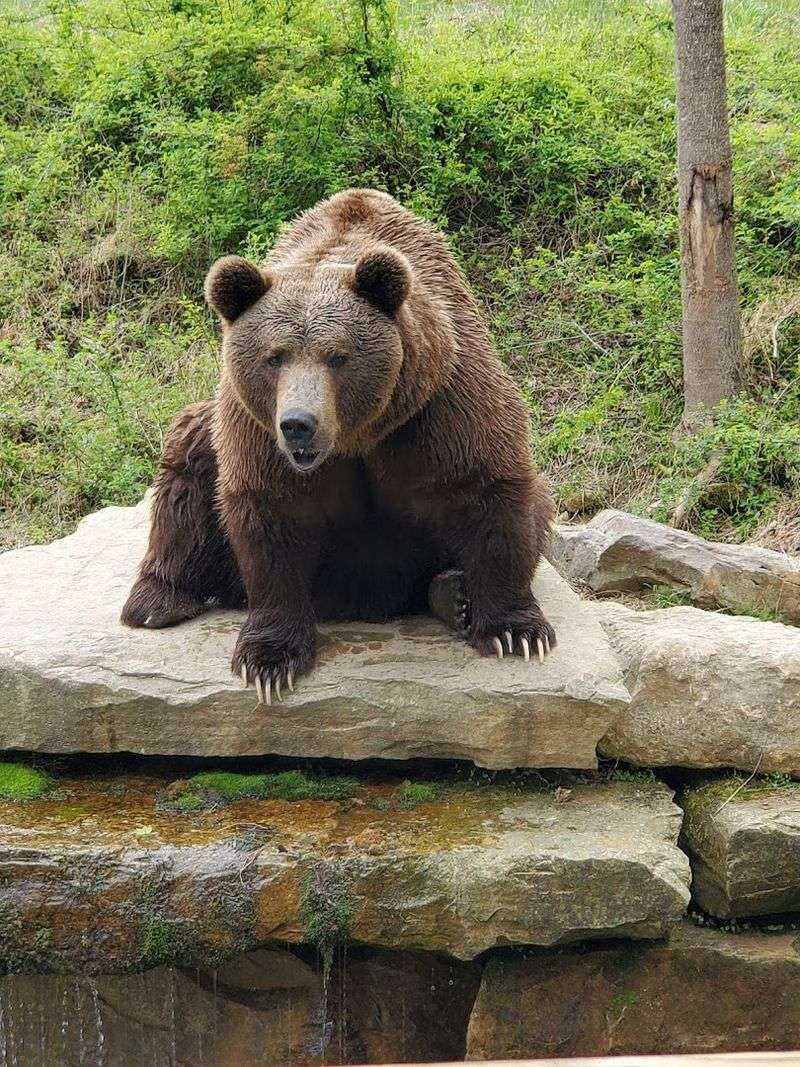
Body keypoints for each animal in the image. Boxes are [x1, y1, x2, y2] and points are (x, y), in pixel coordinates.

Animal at [122, 188, 556, 702]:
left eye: (337, 357)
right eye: (275, 357)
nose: (298, 424)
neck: (357, 439)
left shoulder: (439, 405)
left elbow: (490, 489)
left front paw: (515, 631)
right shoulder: (256, 434)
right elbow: (270, 516)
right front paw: (269, 661)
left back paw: (454, 595)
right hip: (213, 438)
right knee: (185, 461)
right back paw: (156, 600)